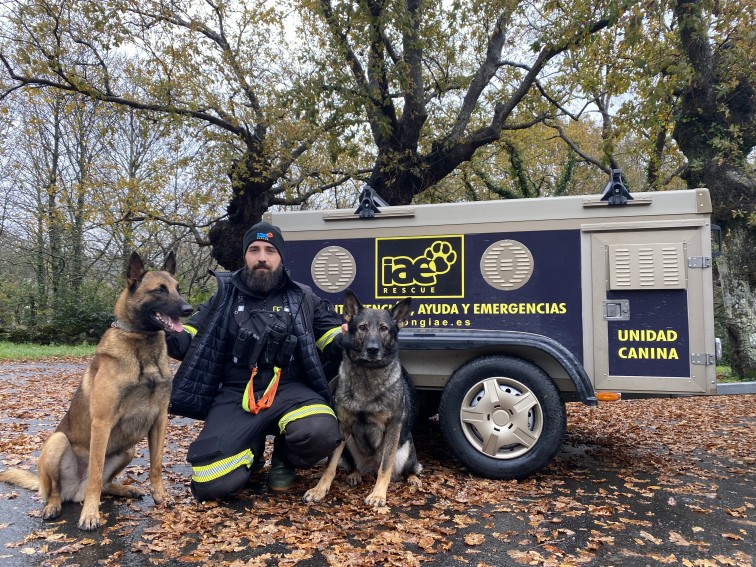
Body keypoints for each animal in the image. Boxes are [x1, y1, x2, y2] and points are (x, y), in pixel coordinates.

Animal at [0, 253, 192, 532]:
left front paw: (160, 496)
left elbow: (155, 465)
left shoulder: (159, 421)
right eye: (159, 290)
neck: (142, 345)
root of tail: (74, 491)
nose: (189, 309)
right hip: (57, 441)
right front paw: (90, 514)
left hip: (129, 449)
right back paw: (54, 506)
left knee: (105, 484)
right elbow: (95, 473)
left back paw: (124, 490)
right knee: (60, 491)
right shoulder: (102, 424)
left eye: (178, 288)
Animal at [302, 290, 422, 508]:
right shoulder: (342, 426)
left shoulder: (393, 427)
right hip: (348, 443)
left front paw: (378, 495)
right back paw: (355, 474)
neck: (368, 373)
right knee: (352, 466)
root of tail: (369, 468)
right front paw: (319, 490)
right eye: (362, 328)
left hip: (406, 448)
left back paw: (412, 479)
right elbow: (330, 465)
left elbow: (385, 467)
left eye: (383, 329)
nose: (373, 349)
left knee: (406, 469)